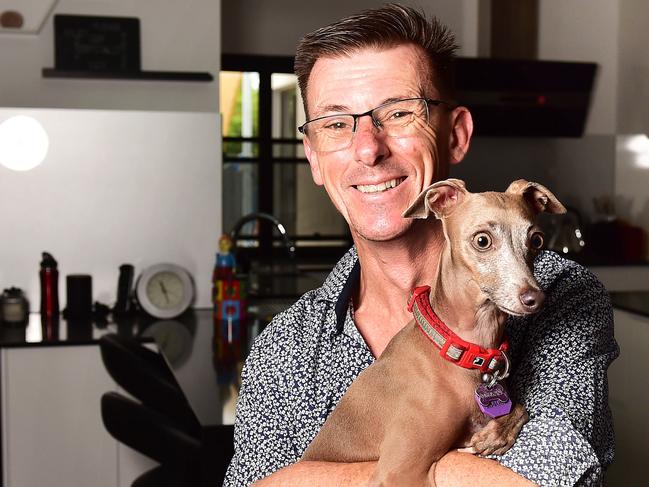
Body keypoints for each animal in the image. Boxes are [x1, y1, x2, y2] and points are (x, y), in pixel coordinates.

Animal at [302, 180, 564, 487]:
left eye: (536, 241)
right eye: (482, 240)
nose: (535, 298)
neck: (459, 348)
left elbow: (519, 408)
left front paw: (495, 434)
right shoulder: (399, 472)